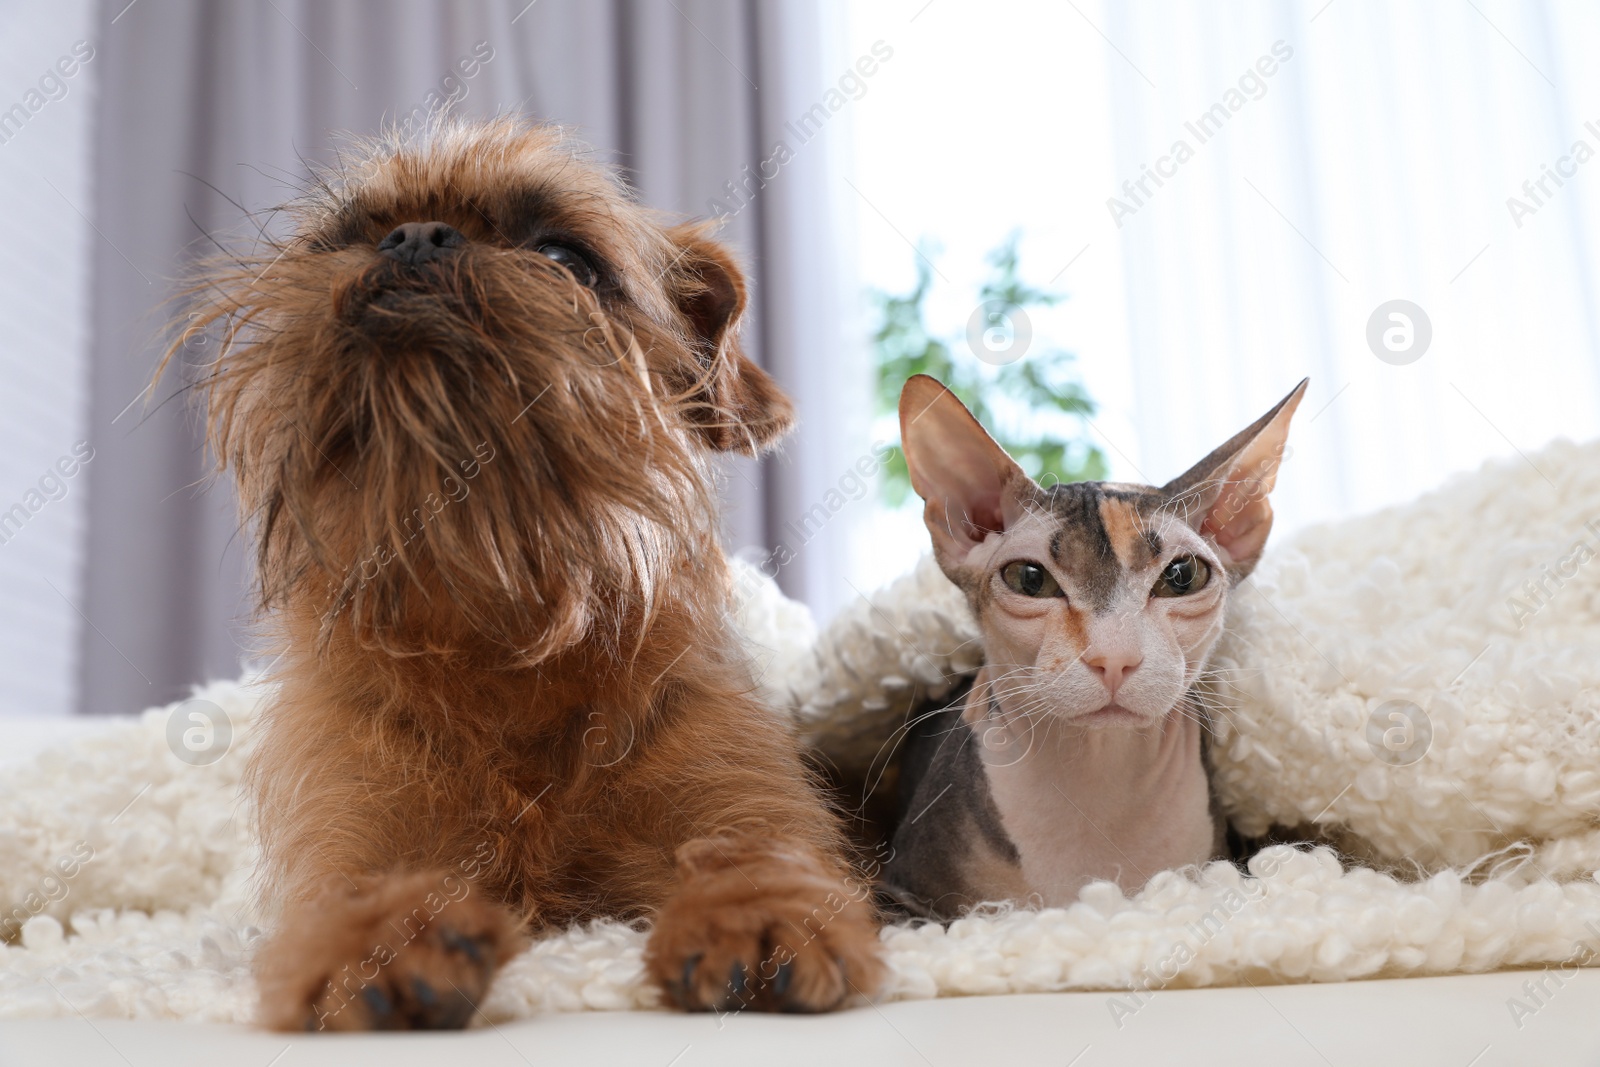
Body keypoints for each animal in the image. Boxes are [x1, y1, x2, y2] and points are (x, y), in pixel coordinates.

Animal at [175, 120, 889, 1030]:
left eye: (566, 257)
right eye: (344, 237)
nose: (415, 236)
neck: (501, 629)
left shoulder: (728, 783)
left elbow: (749, 842)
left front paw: (754, 908)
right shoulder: (356, 818)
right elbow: (355, 881)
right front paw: (377, 937)